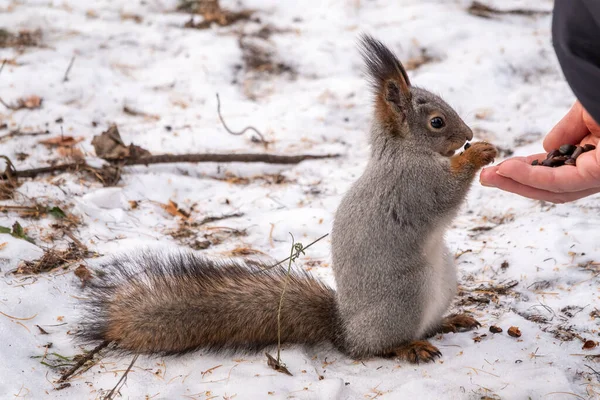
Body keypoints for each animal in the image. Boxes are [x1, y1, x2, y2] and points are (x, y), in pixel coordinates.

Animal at [75, 35, 496, 366]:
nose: (469, 134)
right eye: (437, 122)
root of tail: (347, 329)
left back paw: (448, 322)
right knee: (376, 348)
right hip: (404, 298)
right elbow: (444, 197)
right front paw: (476, 155)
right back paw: (409, 346)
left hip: (442, 281)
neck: (403, 152)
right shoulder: (414, 186)